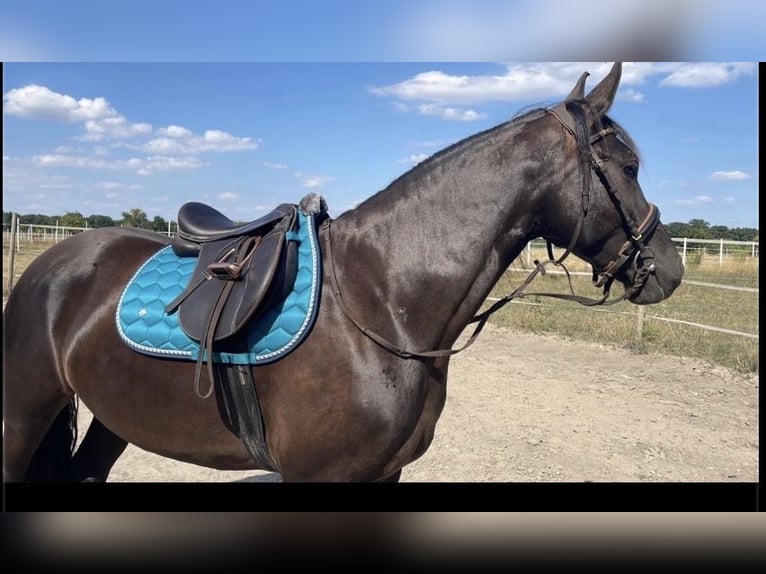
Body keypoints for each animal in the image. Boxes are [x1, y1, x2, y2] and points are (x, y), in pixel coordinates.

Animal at [3, 62, 684, 483]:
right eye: (627, 166)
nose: (669, 269)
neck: (380, 301)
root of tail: (52, 266)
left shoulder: (386, 473)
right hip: (24, 412)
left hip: (113, 414)